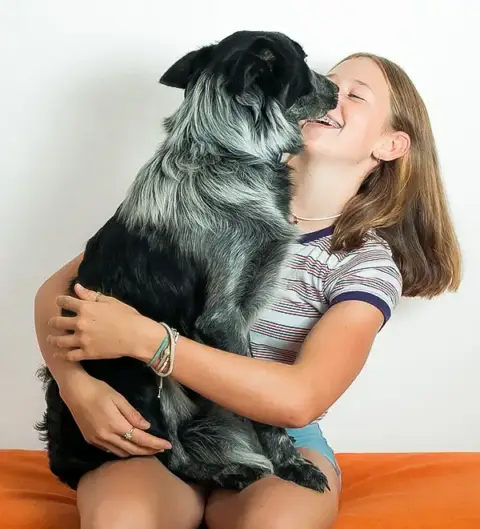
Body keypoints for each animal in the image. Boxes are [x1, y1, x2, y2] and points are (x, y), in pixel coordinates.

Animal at [36, 29, 338, 490]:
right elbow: (261, 413)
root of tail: (62, 461)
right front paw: (292, 465)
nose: (337, 90)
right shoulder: (222, 316)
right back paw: (228, 472)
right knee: (167, 456)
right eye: (301, 60)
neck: (226, 154)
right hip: (138, 374)